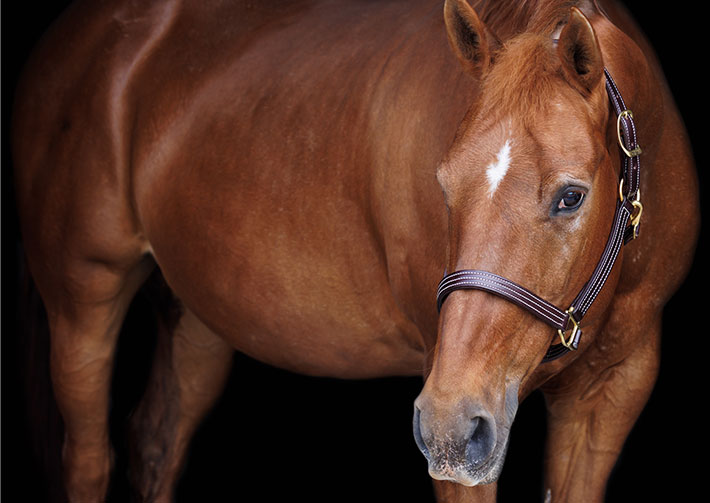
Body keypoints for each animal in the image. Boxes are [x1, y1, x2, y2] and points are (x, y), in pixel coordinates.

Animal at [11, 0, 699, 501]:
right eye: (444, 184)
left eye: (571, 196)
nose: (450, 426)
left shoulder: (610, 392)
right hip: (82, 305)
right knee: (89, 460)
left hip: (197, 324)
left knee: (156, 446)